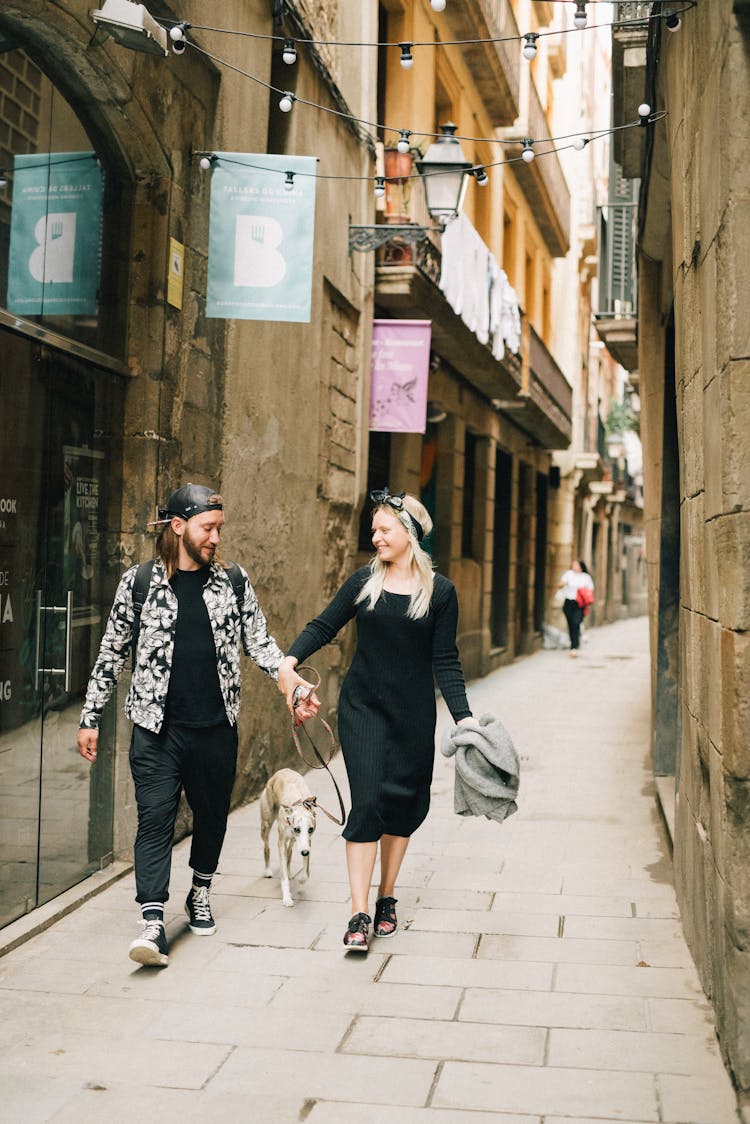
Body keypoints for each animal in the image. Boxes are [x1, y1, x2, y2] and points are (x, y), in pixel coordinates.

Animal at [260, 768, 317, 908]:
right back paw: (268, 870)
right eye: (297, 829)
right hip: (266, 825)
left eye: (310, 829)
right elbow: (283, 876)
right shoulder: (281, 842)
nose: (304, 852)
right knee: (267, 847)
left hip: (292, 840)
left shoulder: (307, 842)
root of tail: (280, 772)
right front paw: (287, 898)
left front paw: (301, 879)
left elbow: (306, 871)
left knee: (289, 851)